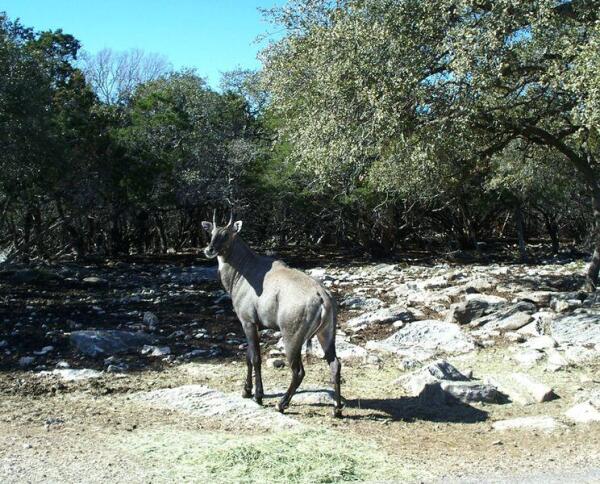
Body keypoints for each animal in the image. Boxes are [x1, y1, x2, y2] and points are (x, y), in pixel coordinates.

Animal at [202, 214, 342, 418]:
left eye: (226, 234)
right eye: (211, 232)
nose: (209, 249)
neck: (242, 272)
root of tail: (323, 297)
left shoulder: (248, 322)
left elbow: (255, 358)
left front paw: (258, 396)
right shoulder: (252, 325)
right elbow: (248, 356)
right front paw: (246, 391)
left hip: (291, 337)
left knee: (298, 371)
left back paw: (281, 404)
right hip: (326, 334)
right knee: (335, 364)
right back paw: (337, 409)